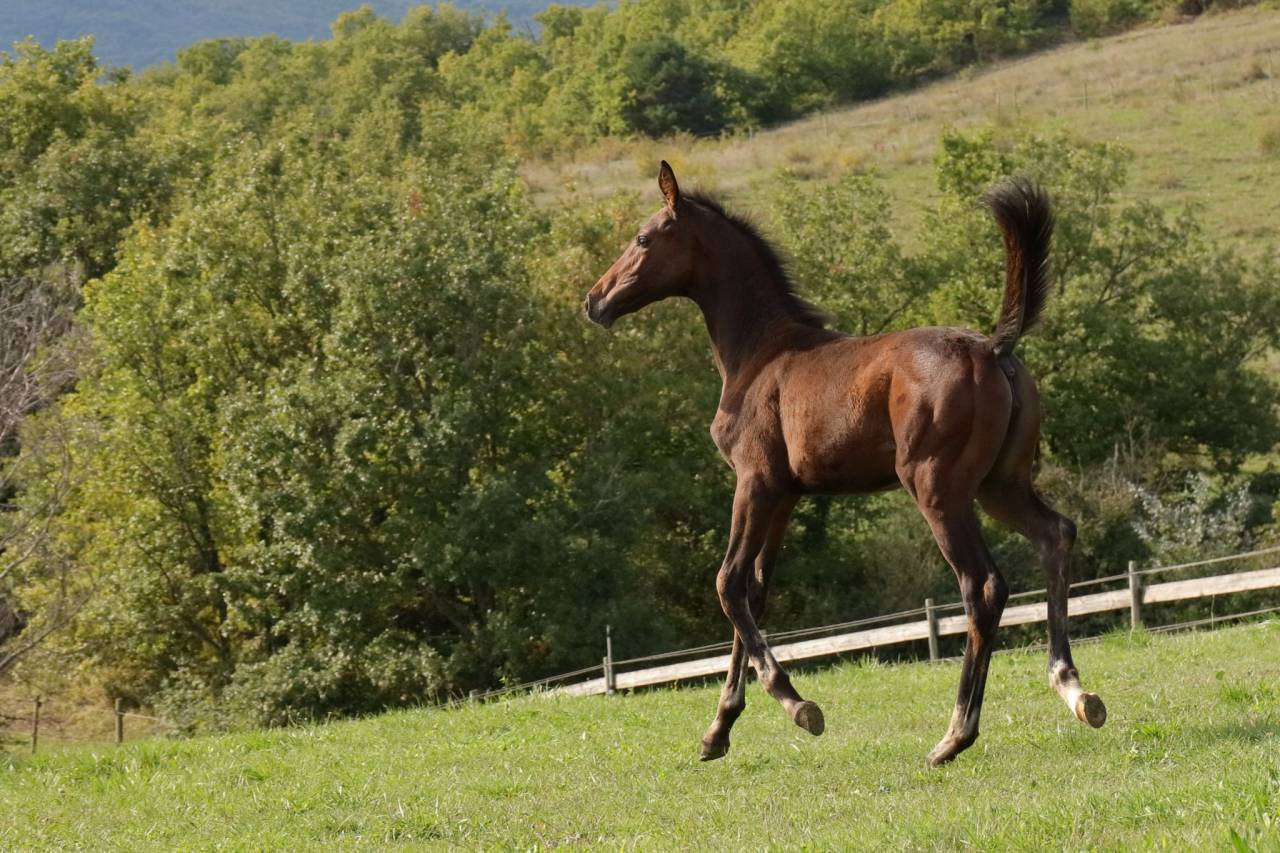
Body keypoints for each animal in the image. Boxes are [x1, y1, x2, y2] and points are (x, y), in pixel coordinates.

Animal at [583, 161, 1107, 766]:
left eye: (643, 239)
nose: (594, 301)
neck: (760, 354)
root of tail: (993, 350)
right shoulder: (784, 494)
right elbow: (755, 591)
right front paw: (719, 729)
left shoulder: (753, 482)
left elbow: (728, 583)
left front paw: (796, 704)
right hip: (1002, 484)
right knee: (1055, 534)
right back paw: (1075, 691)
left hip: (937, 489)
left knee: (983, 586)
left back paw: (954, 735)